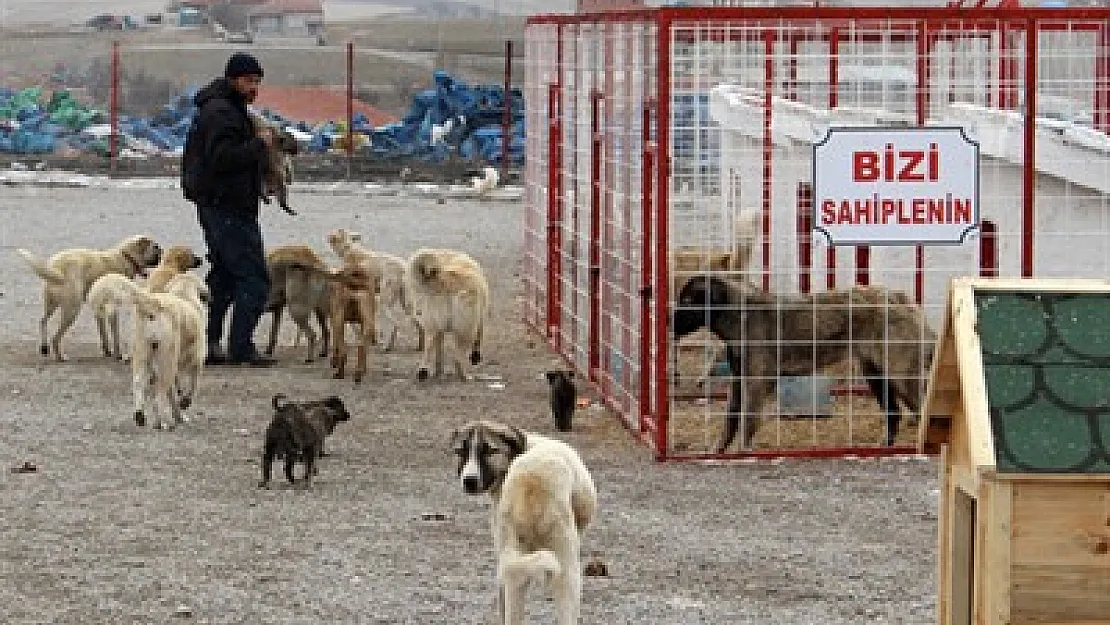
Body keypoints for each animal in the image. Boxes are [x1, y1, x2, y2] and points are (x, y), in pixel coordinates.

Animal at [16, 235, 162, 361]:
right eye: (156, 248)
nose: (163, 252)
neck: (125, 256)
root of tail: (57, 267)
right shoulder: (112, 311)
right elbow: (115, 335)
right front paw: (118, 354)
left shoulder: (99, 310)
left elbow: (103, 333)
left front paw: (107, 351)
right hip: (72, 310)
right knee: (56, 337)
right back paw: (60, 356)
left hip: (51, 305)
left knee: (43, 321)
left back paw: (44, 347)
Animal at [127, 274, 209, 430]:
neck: (183, 293)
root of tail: (151, 305)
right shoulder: (197, 361)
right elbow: (192, 387)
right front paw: (184, 404)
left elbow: (172, 395)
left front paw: (176, 417)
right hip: (166, 360)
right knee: (159, 393)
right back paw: (166, 423)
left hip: (142, 356)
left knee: (139, 383)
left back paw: (140, 416)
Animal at [406, 249, 488, 381]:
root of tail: (445, 281)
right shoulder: (479, 320)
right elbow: (479, 337)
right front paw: (475, 356)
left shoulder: (439, 330)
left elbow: (439, 353)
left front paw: (438, 371)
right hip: (465, 329)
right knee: (458, 356)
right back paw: (465, 375)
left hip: (432, 325)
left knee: (428, 347)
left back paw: (423, 371)